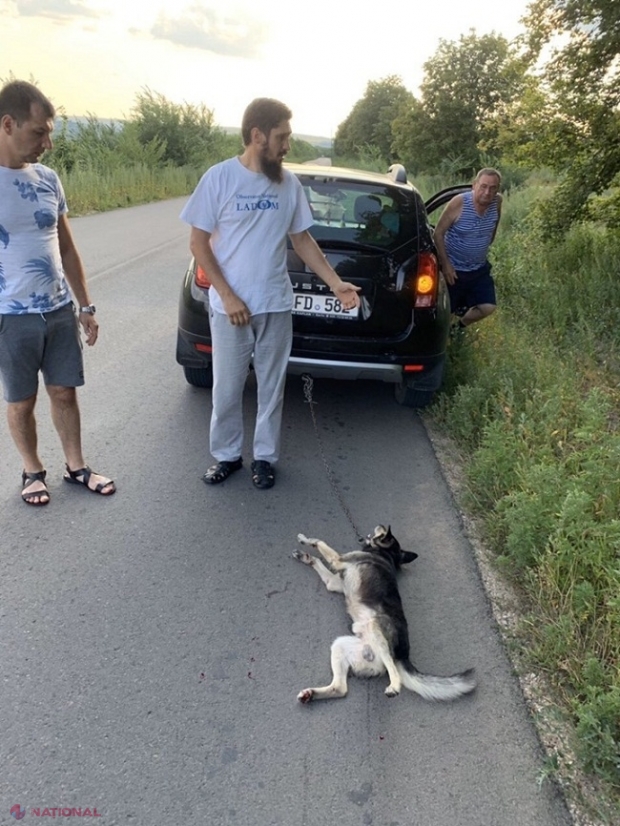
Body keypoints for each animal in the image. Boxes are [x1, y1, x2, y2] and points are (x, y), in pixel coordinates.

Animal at [294, 528, 478, 700]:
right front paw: (306, 557)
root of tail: (403, 655)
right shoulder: (334, 582)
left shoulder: (338, 559)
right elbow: (318, 560)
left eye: (384, 532)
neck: (386, 554)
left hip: (376, 627)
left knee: (393, 670)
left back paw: (394, 687)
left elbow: (319, 542)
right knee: (340, 689)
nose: (380, 526)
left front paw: (305, 539)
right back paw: (310, 694)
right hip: (340, 645)